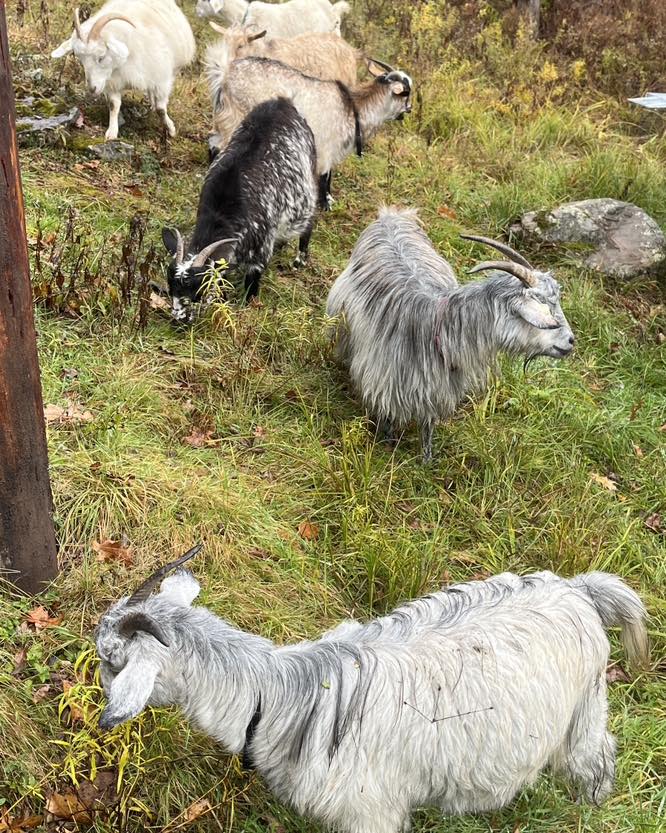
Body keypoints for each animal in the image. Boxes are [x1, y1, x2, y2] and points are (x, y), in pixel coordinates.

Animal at [51, 1, 195, 140]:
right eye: (81, 59)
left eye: (101, 57)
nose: (92, 89)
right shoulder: (112, 82)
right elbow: (113, 105)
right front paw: (112, 132)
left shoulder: (161, 79)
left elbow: (161, 109)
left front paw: (171, 130)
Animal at [96, 549, 648, 833]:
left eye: (110, 659)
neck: (283, 698)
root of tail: (580, 591)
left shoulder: (369, 811)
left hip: (583, 709)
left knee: (596, 757)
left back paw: (590, 806)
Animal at [161, 97, 317, 321]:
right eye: (170, 285)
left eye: (198, 287)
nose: (179, 318)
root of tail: (283, 102)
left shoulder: (260, 253)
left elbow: (251, 288)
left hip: (305, 193)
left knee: (309, 222)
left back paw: (299, 260)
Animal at [207, 56, 412, 208]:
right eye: (407, 92)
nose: (409, 109)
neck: (352, 108)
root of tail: (225, 74)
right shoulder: (327, 147)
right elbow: (325, 176)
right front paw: (326, 203)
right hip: (237, 115)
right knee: (221, 148)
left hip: (225, 116)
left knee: (213, 143)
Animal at [326, 207, 576, 460]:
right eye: (544, 305)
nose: (571, 341)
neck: (436, 327)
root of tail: (392, 216)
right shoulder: (385, 382)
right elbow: (387, 419)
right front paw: (388, 445)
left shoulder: (435, 389)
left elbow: (427, 425)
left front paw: (427, 460)